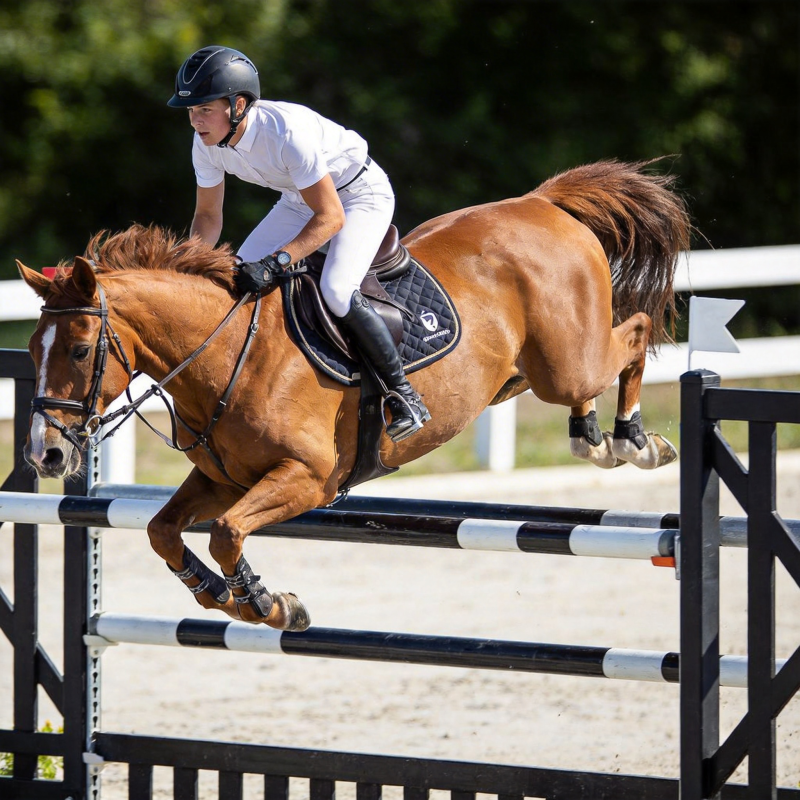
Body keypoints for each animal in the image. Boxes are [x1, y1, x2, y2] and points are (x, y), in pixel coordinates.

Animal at [18, 158, 690, 631]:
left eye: (79, 350)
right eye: (30, 350)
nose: (45, 455)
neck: (229, 351)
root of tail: (542, 203)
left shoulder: (307, 479)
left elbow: (227, 533)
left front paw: (267, 604)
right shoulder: (222, 478)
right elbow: (163, 531)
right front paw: (225, 595)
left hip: (563, 363)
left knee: (632, 334)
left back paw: (634, 440)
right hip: (520, 374)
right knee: (592, 370)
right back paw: (592, 436)